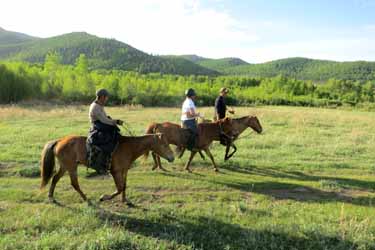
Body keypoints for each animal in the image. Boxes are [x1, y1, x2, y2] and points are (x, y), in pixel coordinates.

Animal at [40, 134, 176, 204]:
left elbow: (124, 186)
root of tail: (59, 141)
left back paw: (51, 196)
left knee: (55, 179)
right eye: (164, 145)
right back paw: (86, 199)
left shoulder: (124, 171)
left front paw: (125, 200)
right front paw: (104, 197)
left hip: (64, 166)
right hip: (71, 167)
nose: (172, 157)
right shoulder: (115, 172)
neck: (129, 147)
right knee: (74, 183)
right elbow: (119, 188)